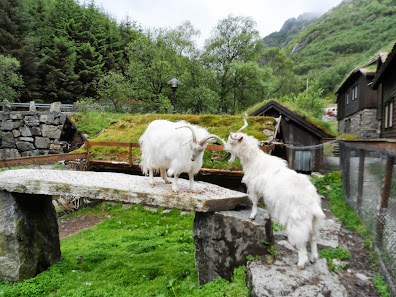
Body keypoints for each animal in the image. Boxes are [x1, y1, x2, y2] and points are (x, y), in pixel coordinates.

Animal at [224, 117, 326, 268]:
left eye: (231, 142)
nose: (225, 148)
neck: (254, 160)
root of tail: (313, 203)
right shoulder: (268, 195)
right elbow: (267, 205)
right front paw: (267, 217)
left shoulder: (254, 187)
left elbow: (255, 202)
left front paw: (252, 216)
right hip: (314, 223)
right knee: (313, 239)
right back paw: (313, 258)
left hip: (298, 223)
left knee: (302, 244)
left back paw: (301, 263)